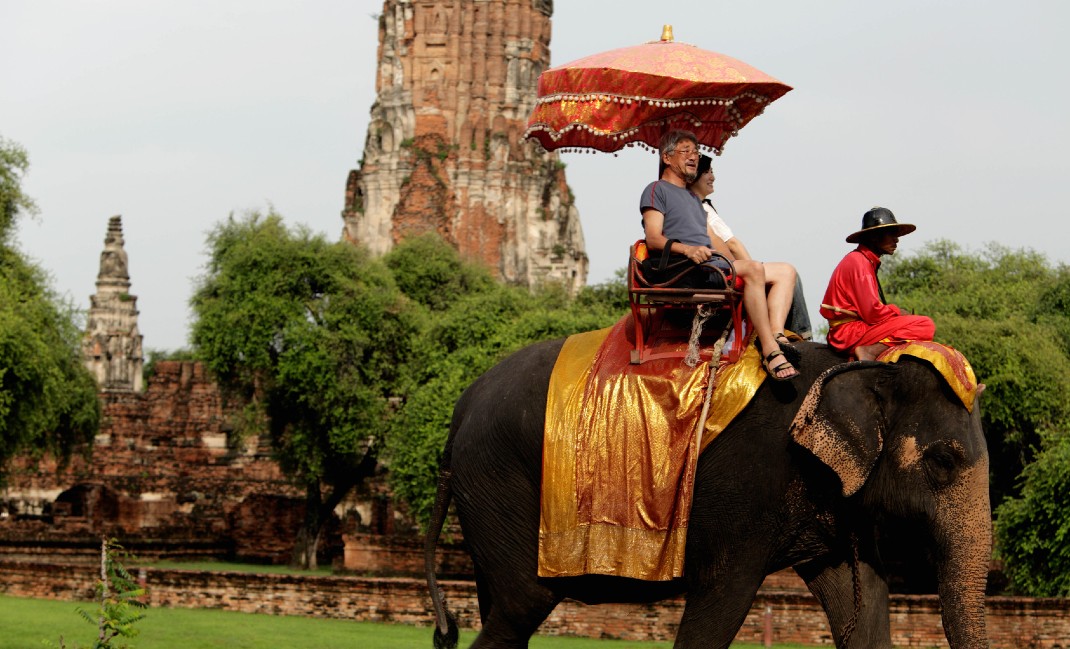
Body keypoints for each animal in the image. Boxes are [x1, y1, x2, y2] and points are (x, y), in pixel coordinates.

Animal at [421, 340, 988, 649]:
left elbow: (865, 606)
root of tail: (457, 416)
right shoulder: (746, 491)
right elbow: (721, 600)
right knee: (524, 605)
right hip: (497, 479)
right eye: (942, 462)